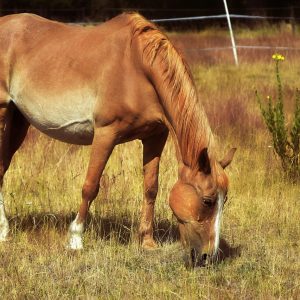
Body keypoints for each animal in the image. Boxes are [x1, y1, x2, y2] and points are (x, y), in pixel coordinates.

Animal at [0, 11, 236, 266]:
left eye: (225, 200)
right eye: (207, 201)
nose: (208, 257)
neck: (136, 67)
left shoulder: (155, 137)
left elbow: (151, 188)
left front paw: (147, 242)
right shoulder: (106, 134)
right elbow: (90, 186)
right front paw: (75, 239)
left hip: (18, 121)